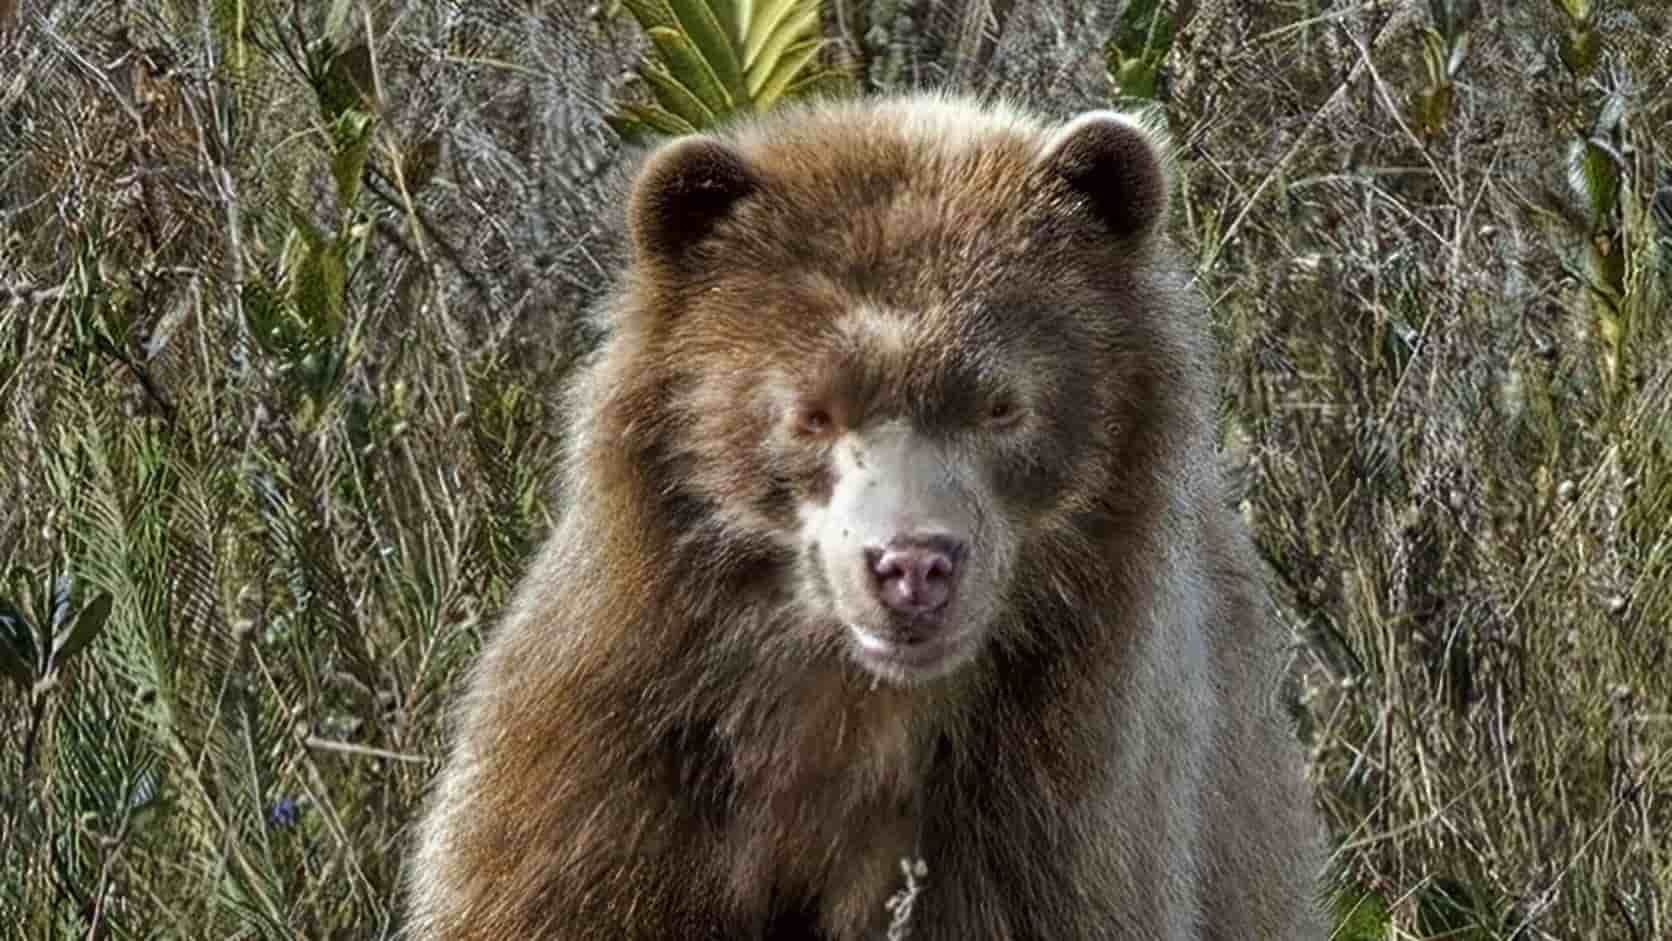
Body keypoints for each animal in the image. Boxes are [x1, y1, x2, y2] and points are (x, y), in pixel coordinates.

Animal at [402, 91, 1327, 941]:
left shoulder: (1049, 812)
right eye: (812, 411)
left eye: (1001, 405)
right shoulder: (619, 770)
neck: (846, 710)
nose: (913, 565)